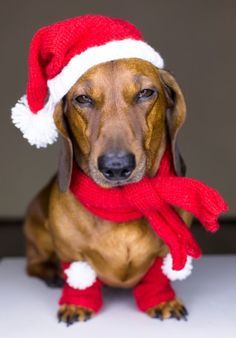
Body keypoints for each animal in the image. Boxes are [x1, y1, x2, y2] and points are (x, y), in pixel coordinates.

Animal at [23, 57, 193, 322]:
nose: (116, 167)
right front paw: (76, 304)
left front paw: (164, 300)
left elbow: (158, 274)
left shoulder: (167, 250)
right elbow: (78, 274)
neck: (121, 204)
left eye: (146, 93)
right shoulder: (70, 251)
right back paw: (51, 273)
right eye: (83, 99)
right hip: (36, 229)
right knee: (33, 263)